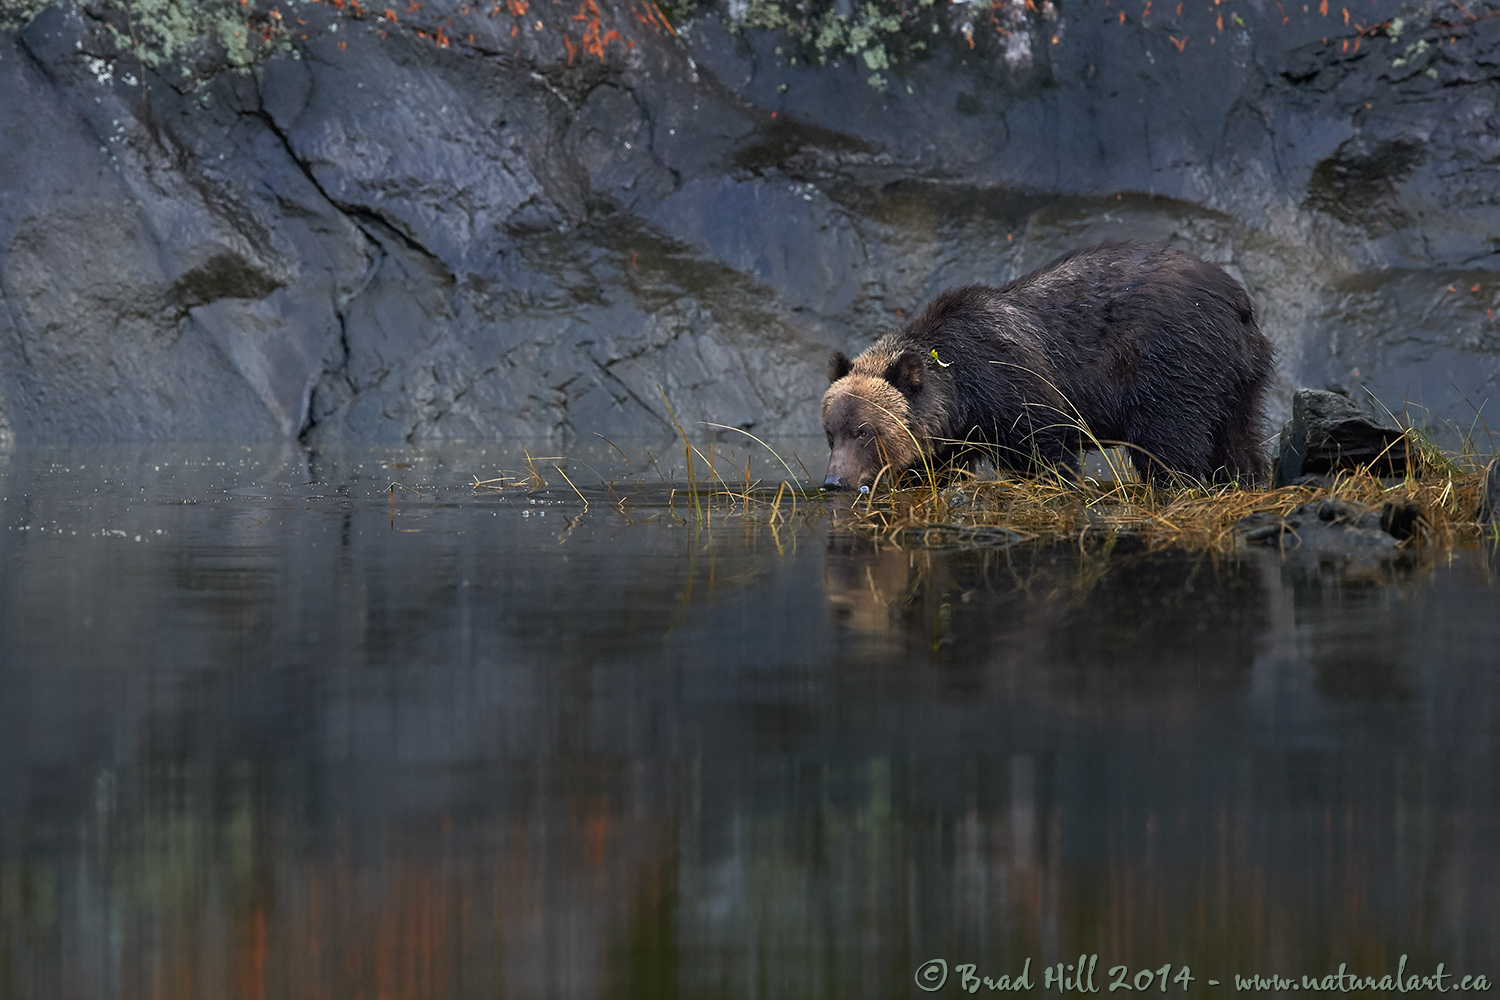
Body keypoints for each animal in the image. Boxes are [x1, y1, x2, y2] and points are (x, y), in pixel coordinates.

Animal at [828, 242, 1272, 491]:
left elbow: (1043, 449)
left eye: (863, 431)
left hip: (1173, 363)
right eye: (830, 432)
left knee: (1168, 441)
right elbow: (935, 468)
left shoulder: (1011, 383)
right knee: (1239, 435)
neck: (962, 392)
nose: (835, 480)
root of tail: (1237, 298)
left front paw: (1056, 485)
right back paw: (1245, 480)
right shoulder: (955, 432)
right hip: (1239, 377)